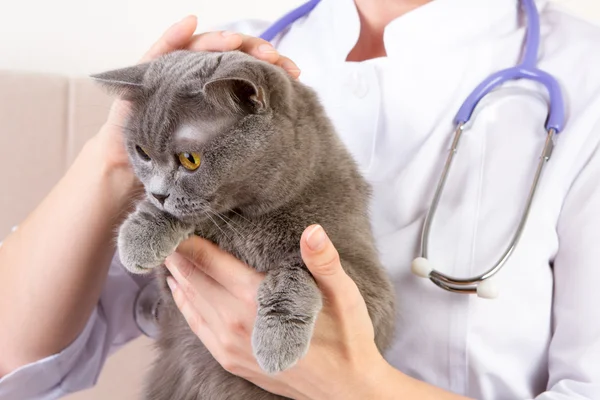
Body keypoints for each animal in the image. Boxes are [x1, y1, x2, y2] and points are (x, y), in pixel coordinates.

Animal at [91, 50, 396, 400]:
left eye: (190, 160)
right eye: (141, 152)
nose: (158, 193)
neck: (250, 220)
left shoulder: (371, 294)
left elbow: (298, 268)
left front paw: (277, 341)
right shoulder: (171, 296)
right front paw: (140, 236)